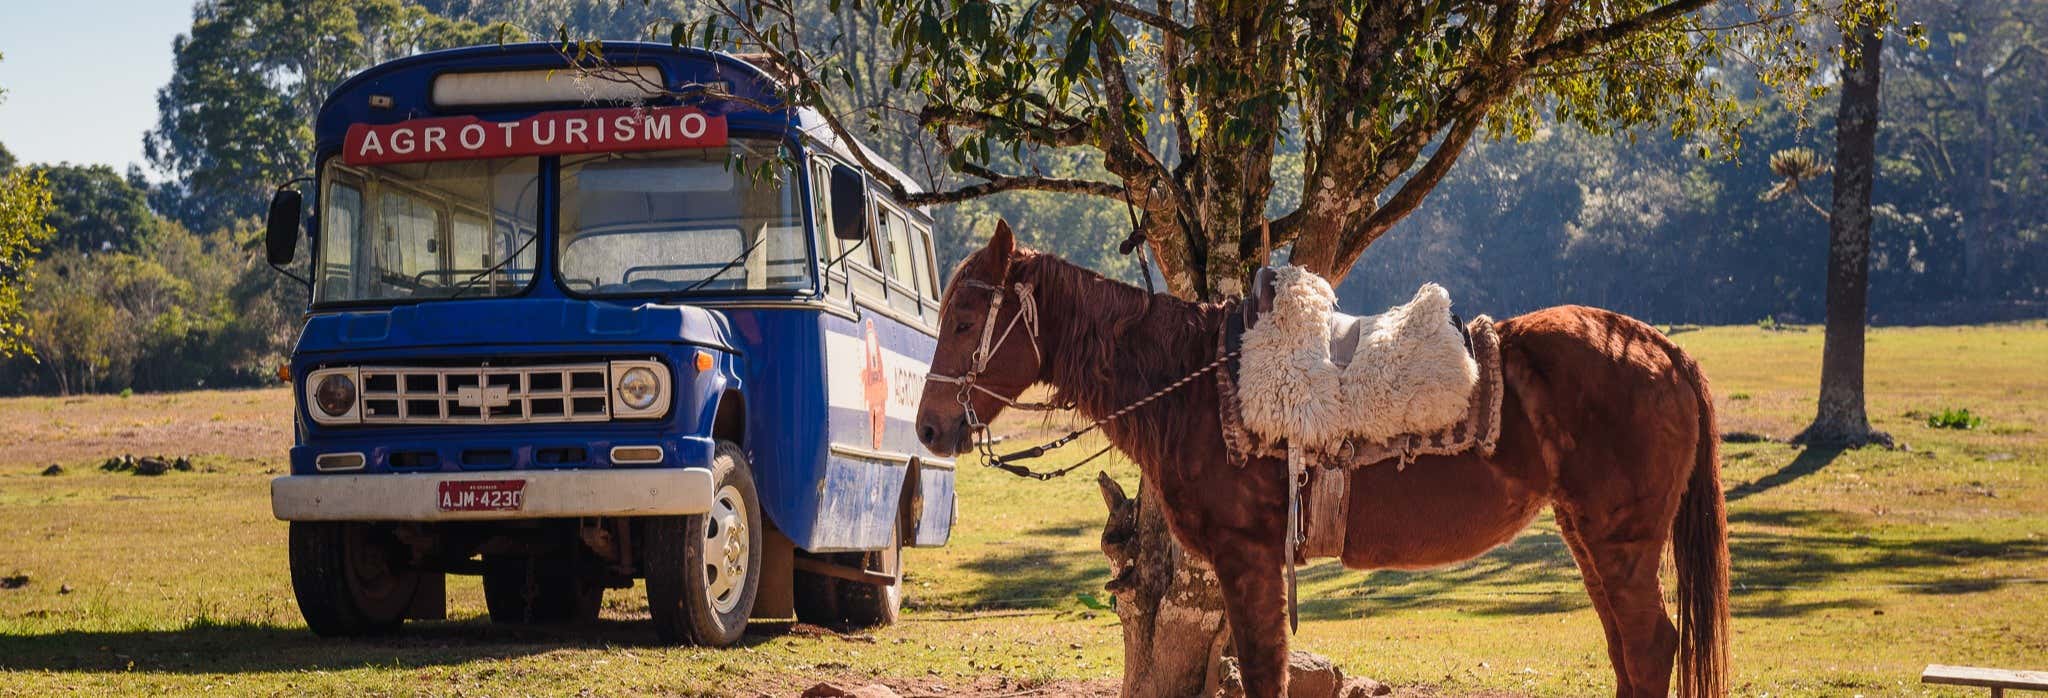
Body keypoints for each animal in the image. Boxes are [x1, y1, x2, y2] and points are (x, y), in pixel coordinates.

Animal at [921, 223, 1736, 695]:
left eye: (963, 319)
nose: (930, 429)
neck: (1196, 382)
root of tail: (1662, 349)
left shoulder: (1248, 560)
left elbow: (1264, 675)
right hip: (1588, 536)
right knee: (1630, 650)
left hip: (1621, 539)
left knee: (1648, 647)